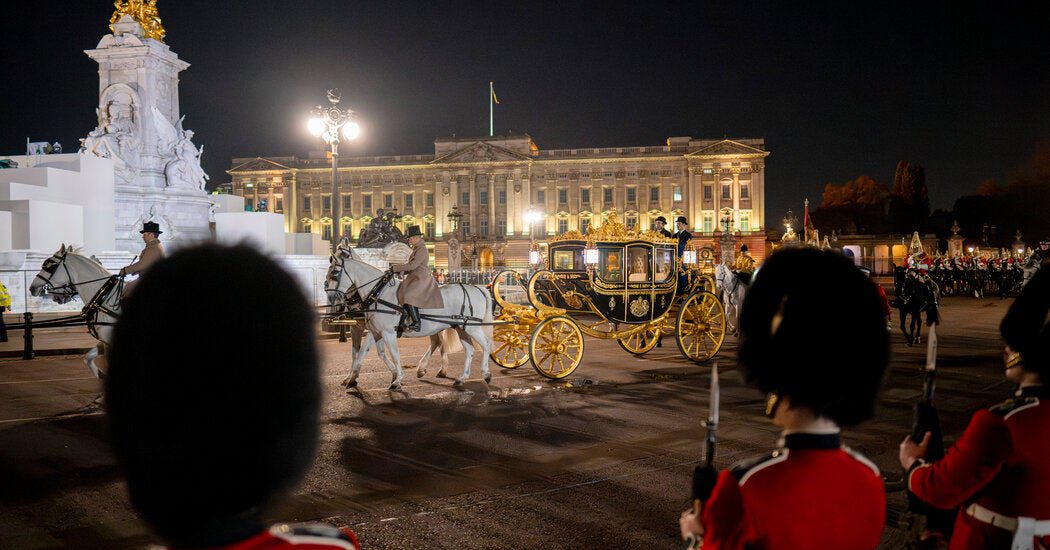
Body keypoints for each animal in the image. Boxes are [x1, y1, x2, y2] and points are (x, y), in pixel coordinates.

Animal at [28, 244, 120, 377]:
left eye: (50, 265)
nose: (32, 288)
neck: (105, 299)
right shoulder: (104, 342)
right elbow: (87, 358)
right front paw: (100, 375)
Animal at [331, 248, 495, 390]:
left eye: (335, 273)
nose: (331, 296)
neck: (379, 294)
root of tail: (478, 288)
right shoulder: (374, 331)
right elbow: (363, 353)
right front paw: (352, 379)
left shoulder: (388, 332)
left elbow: (394, 354)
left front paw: (397, 379)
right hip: (461, 327)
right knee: (468, 349)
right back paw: (460, 377)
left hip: (472, 327)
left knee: (486, 344)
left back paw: (486, 373)